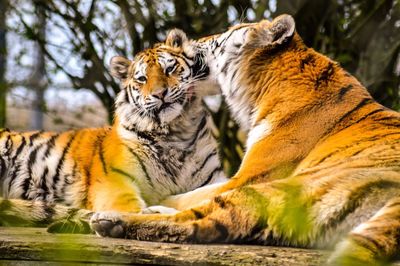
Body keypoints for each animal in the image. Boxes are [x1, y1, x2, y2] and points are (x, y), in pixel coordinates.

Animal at [0, 37, 227, 231]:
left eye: (169, 69)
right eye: (142, 79)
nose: (159, 94)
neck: (175, 133)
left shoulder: (212, 180)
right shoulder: (113, 182)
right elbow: (132, 208)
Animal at [90, 15, 400, 266]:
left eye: (223, 35)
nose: (191, 41)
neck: (260, 92)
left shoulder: (248, 176)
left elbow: (190, 195)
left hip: (279, 190)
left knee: (194, 222)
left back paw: (109, 220)